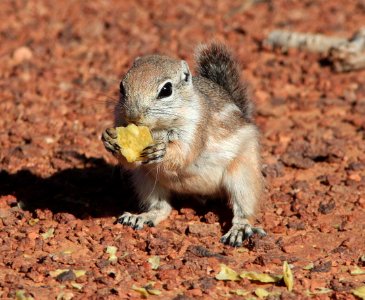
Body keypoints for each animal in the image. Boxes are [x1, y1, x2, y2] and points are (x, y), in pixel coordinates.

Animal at [101, 42, 264, 246]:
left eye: (166, 90)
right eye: (122, 86)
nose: (133, 116)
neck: (157, 130)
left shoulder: (196, 129)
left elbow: (184, 154)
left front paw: (162, 150)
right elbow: (131, 162)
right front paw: (110, 139)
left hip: (243, 174)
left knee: (245, 209)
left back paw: (239, 229)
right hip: (146, 181)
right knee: (162, 208)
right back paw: (141, 217)